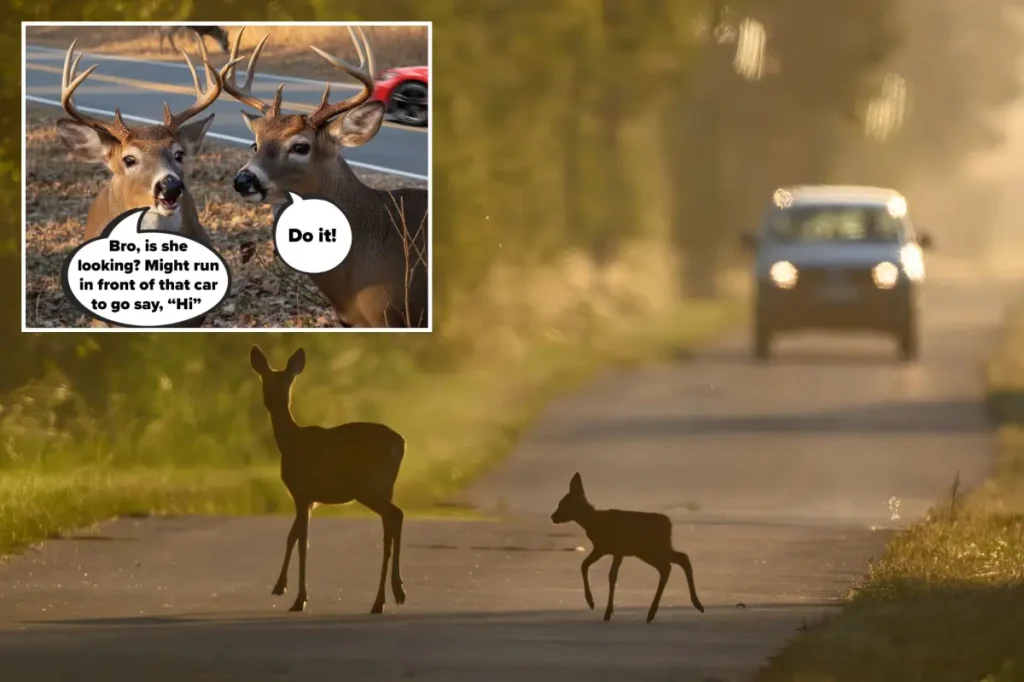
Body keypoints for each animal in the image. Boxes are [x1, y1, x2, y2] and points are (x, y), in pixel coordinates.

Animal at [248, 345, 408, 614]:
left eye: (286, 383)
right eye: (266, 380)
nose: (271, 402)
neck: (290, 442)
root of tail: (401, 443)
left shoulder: (301, 491)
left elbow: (303, 543)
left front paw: (300, 599)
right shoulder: (310, 498)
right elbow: (292, 536)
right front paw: (280, 586)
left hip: (368, 485)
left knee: (395, 515)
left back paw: (389, 596)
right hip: (386, 486)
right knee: (390, 525)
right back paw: (387, 597)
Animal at [551, 473, 705, 623]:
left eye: (563, 504)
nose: (553, 517)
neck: (595, 522)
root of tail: (669, 525)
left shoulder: (618, 549)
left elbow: (612, 576)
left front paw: (606, 611)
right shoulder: (601, 549)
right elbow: (584, 565)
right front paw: (591, 602)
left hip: (651, 549)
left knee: (669, 566)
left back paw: (655, 612)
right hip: (654, 549)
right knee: (679, 559)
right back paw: (692, 605)